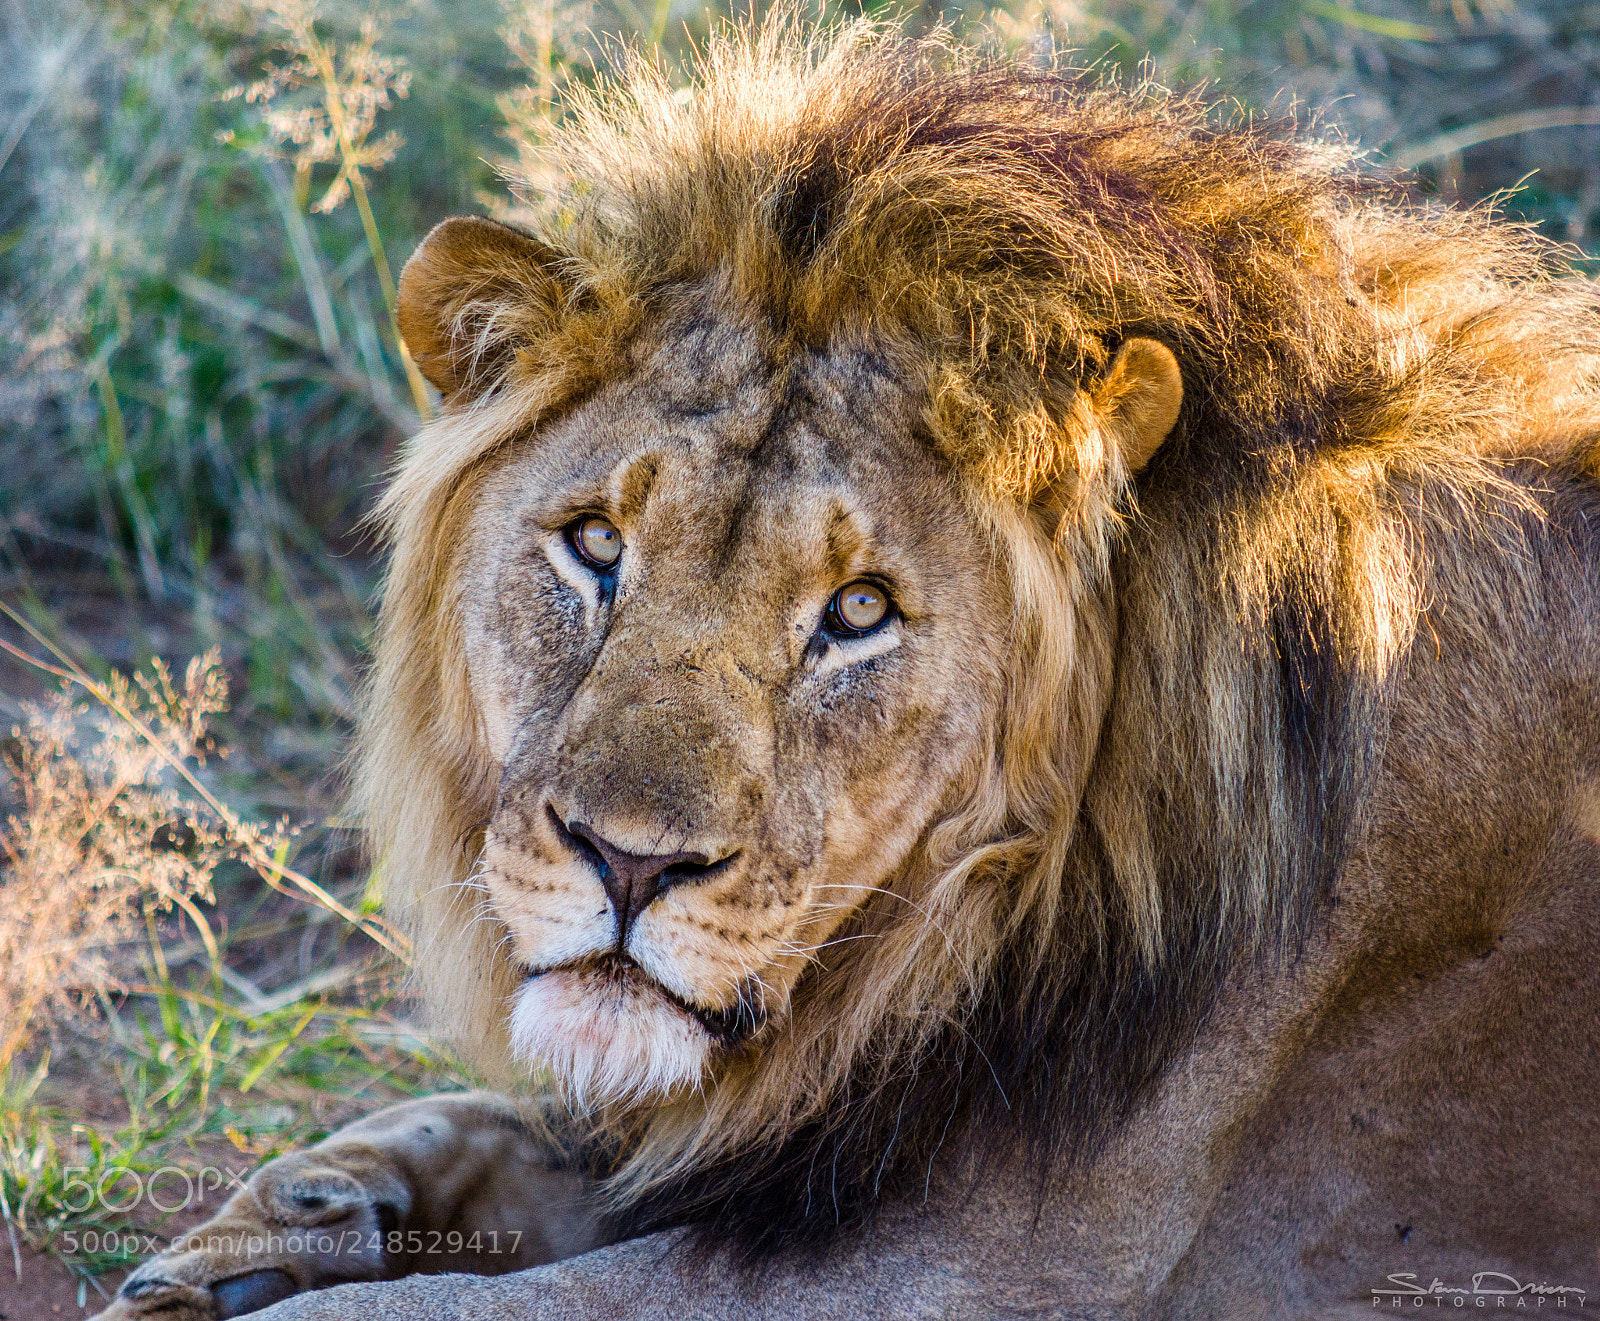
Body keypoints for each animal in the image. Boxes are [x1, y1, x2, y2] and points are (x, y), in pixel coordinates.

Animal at [97, 18, 1600, 1321]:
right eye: (595, 545)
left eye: (859, 611)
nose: (628, 863)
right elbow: (472, 1120)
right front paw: (254, 1232)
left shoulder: (993, 1264)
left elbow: (460, 1305)